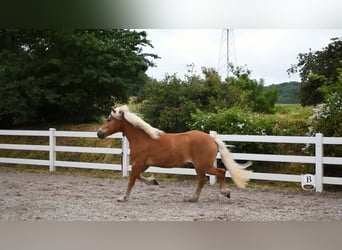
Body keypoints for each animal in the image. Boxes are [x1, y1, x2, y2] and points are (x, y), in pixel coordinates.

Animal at [96, 104, 251, 202]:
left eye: (108, 119)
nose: (99, 133)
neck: (142, 138)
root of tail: (212, 139)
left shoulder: (137, 163)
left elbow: (132, 180)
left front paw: (123, 197)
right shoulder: (143, 164)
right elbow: (139, 177)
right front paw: (153, 181)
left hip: (203, 165)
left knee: (221, 172)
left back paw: (225, 192)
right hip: (199, 167)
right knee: (203, 180)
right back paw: (193, 198)